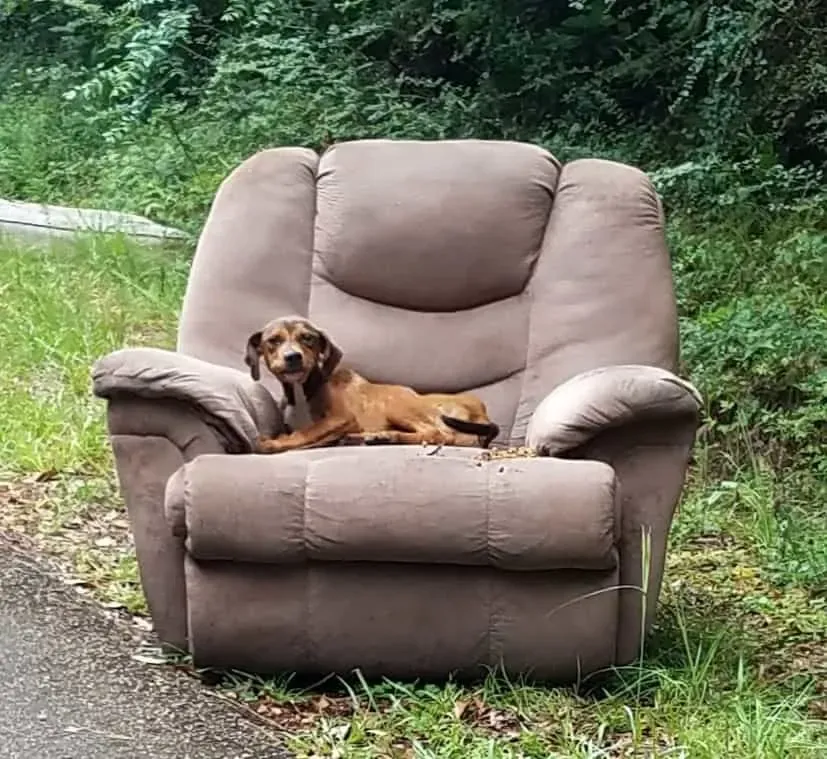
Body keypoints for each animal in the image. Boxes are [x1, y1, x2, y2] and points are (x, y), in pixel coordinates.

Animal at [243, 314, 502, 452]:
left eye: (308, 338)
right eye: (273, 341)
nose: (293, 357)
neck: (303, 390)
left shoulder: (342, 418)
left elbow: (308, 431)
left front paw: (274, 443)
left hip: (395, 404)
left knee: (436, 433)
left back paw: (384, 436)